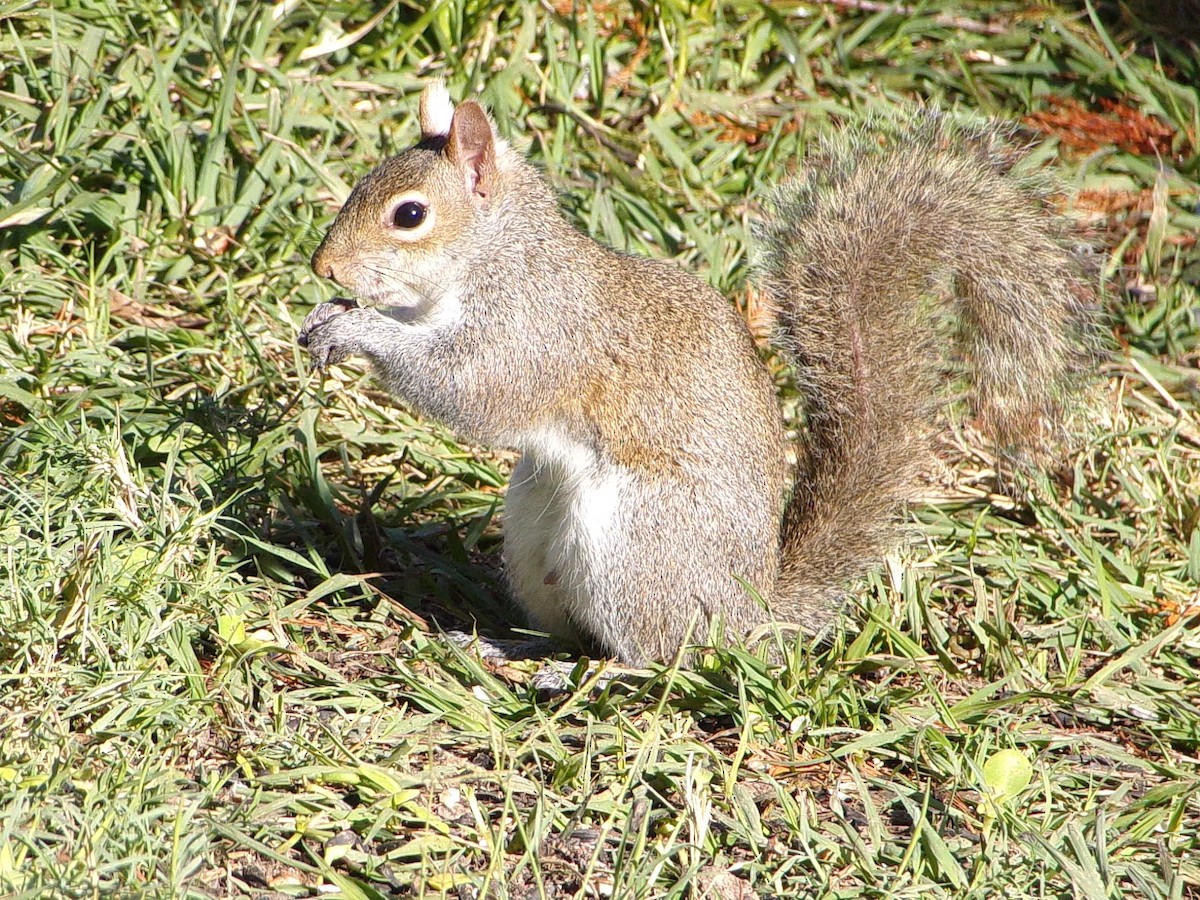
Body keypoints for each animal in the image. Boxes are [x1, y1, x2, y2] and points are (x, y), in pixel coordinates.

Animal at [298, 81, 1095, 667]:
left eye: (409, 215)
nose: (322, 266)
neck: (497, 257)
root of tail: (748, 615)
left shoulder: (534, 333)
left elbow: (468, 390)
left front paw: (357, 330)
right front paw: (323, 314)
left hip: (634, 547)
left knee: (660, 657)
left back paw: (591, 675)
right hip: (532, 531)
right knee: (570, 627)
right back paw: (507, 646)